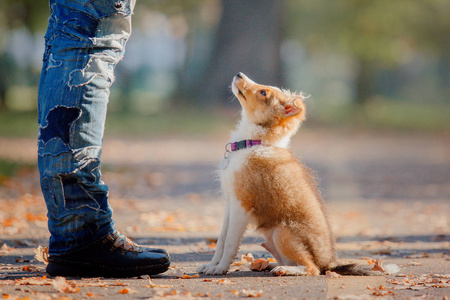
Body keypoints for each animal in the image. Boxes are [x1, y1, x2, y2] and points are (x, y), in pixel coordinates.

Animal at [199, 73, 382, 276]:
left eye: (264, 93)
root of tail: (328, 264)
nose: (239, 74)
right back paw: (268, 265)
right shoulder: (230, 202)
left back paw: (284, 270)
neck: (254, 143)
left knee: (312, 268)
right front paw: (211, 265)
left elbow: (230, 242)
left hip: (282, 232)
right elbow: (221, 240)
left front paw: (220, 268)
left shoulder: (242, 205)